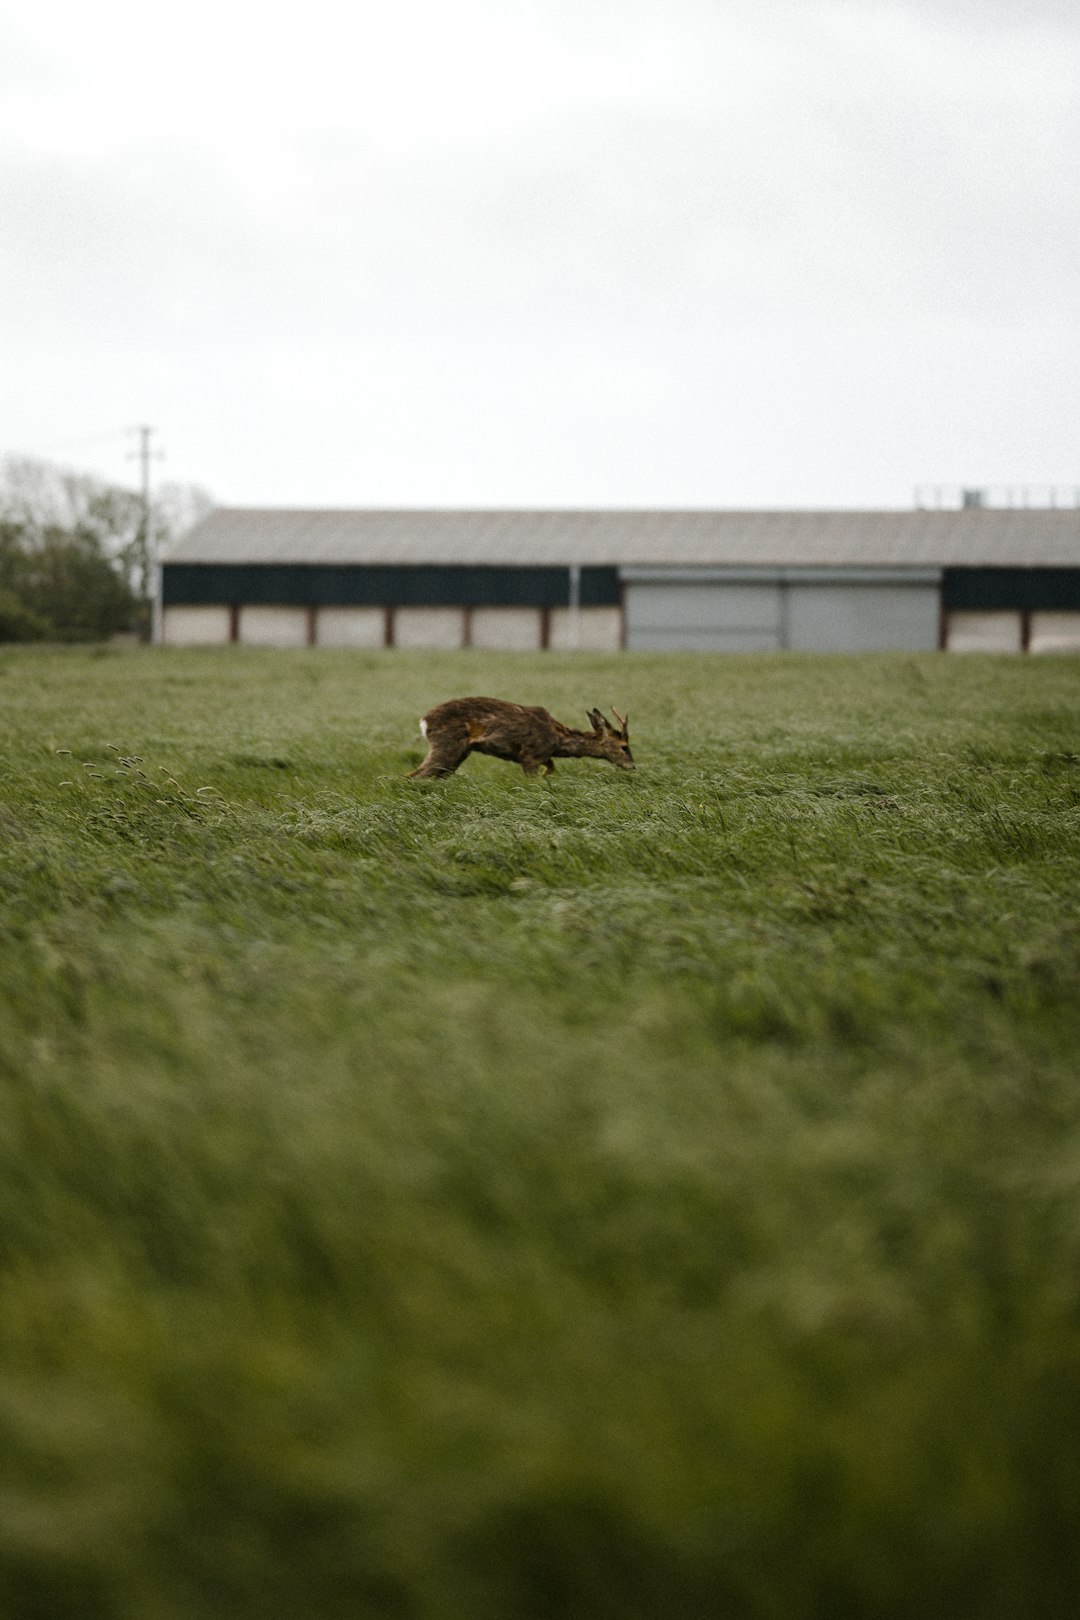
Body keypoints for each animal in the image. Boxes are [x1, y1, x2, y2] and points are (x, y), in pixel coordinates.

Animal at [411, 696, 634, 777]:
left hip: (459, 754)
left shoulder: (545, 758)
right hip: (447, 745)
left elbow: (551, 770)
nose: (633, 766)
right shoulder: (530, 754)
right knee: (416, 776)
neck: (558, 738)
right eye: (624, 746)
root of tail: (425, 720)